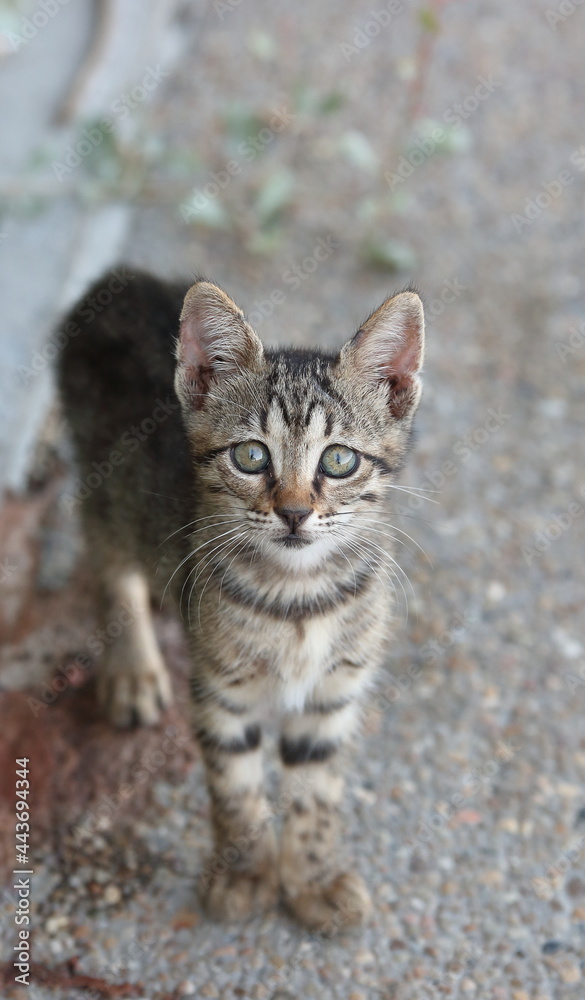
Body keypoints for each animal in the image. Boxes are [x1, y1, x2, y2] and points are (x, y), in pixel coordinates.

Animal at [58, 270, 424, 932]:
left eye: (339, 460)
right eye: (251, 456)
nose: (296, 512)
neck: (299, 596)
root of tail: (121, 280)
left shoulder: (334, 694)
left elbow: (316, 793)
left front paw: (312, 878)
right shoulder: (220, 691)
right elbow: (237, 786)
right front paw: (246, 874)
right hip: (106, 493)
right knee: (108, 566)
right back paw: (131, 668)